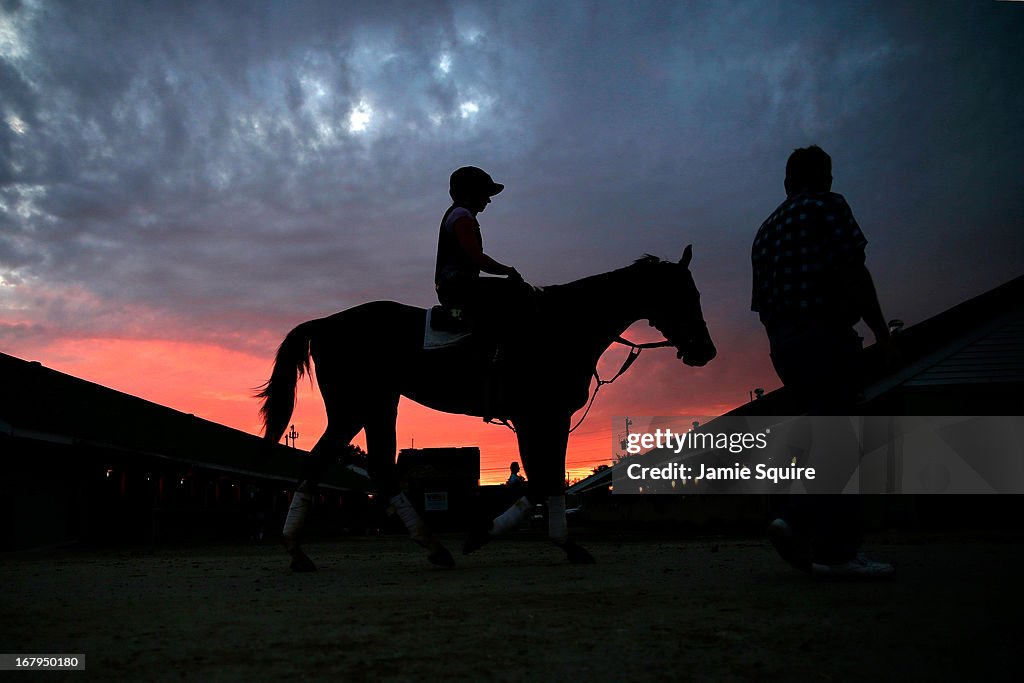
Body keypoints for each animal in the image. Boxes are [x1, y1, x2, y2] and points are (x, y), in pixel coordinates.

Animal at [260, 245, 716, 573]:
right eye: (686, 294)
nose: (706, 351)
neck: (562, 326)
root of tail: (324, 323)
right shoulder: (540, 417)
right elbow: (542, 480)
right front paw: (492, 535)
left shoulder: (549, 418)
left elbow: (549, 480)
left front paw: (562, 543)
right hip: (353, 407)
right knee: (322, 463)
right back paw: (299, 550)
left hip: (377, 405)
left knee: (378, 469)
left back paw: (429, 548)